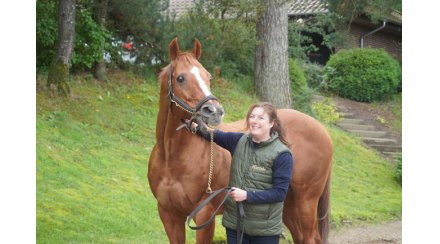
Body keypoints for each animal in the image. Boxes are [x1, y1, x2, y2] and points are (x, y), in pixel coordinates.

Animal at [148, 38, 334, 244]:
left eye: (208, 76)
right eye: (180, 78)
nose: (214, 111)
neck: (171, 158)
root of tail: (323, 131)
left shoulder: (204, 215)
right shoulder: (169, 214)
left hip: (305, 202)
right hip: (287, 204)